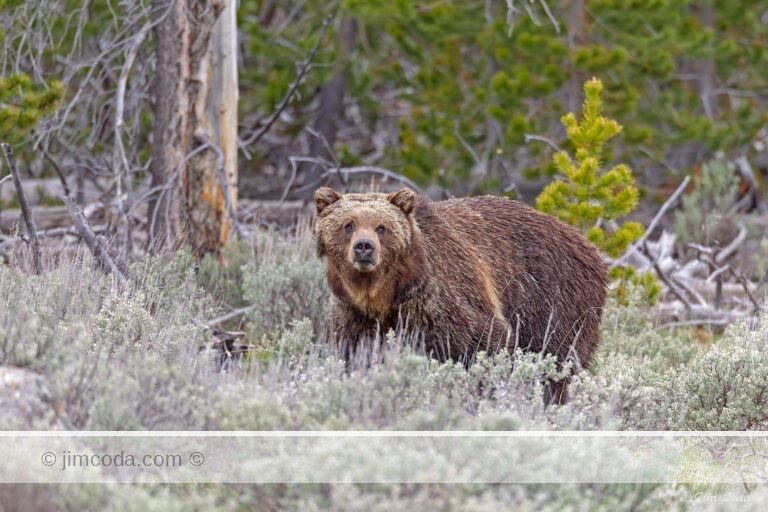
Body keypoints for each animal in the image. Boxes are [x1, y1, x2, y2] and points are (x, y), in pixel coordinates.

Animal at [313, 187, 609, 404]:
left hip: (551, 298)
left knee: (556, 358)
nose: (364, 247)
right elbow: (352, 354)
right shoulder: (355, 313)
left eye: (382, 227)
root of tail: (589, 246)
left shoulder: (442, 297)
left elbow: (484, 342)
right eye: (348, 225)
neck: (383, 295)